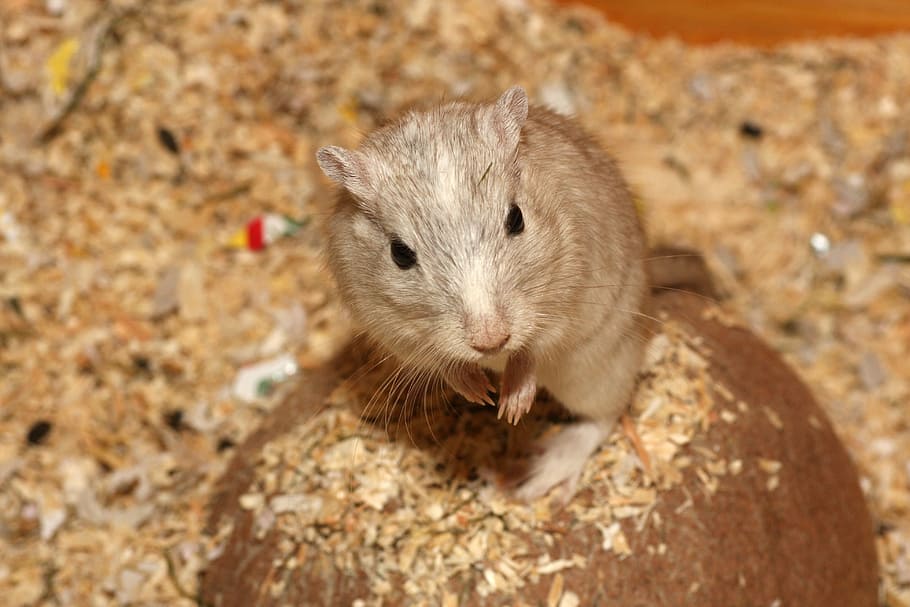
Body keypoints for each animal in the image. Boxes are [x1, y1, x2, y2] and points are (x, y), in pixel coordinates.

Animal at [316, 86, 648, 501]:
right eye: (400, 253)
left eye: (516, 219)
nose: (491, 342)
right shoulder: (391, 327)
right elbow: (441, 361)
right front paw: (479, 393)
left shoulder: (566, 297)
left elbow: (533, 349)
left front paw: (511, 407)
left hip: (598, 366)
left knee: (604, 416)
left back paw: (535, 477)